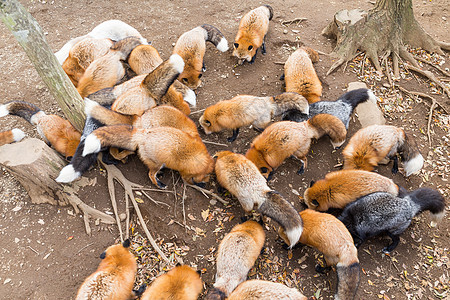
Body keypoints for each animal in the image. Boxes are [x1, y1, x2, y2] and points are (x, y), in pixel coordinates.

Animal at [82, 124, 214, 188]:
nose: (208, 182)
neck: (205, 162)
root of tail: (143, 134)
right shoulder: (186, 173)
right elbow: (190, 181)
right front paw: (199, 185)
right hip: (157, 163)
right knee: (150, 174)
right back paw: (159, 184)